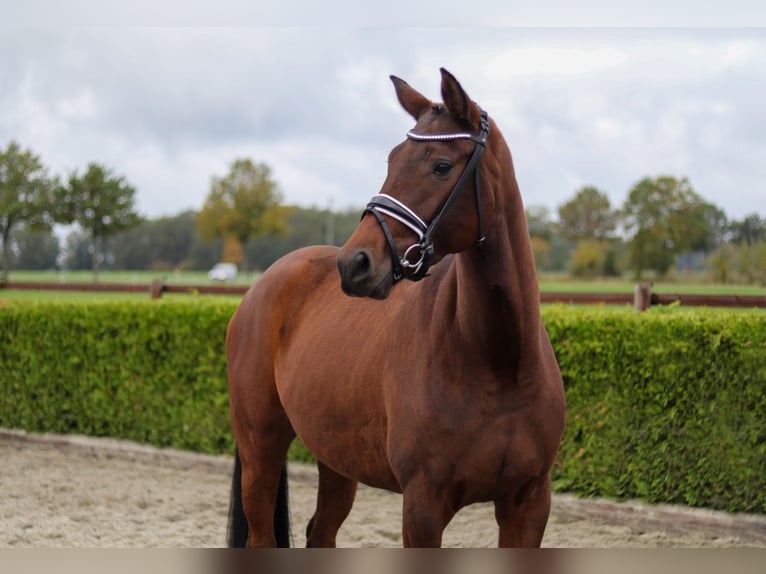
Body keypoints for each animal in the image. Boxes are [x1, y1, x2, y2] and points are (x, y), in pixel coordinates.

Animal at [226, 68, 566, 548]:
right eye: (391, 160)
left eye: (440, 165)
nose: (355, 263)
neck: (499, 362)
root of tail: (261, 286)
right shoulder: (423, 505)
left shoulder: (529, 504)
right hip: (260, 447)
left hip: (336, 457)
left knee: (321, 531)